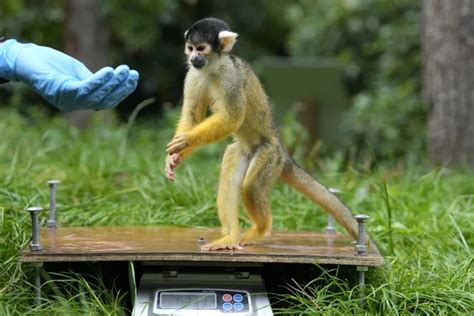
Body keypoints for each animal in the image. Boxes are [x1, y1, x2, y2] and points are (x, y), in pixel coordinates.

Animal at [167, 17, 360, 251]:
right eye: (190, 48)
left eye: (201, 48)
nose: (193, 58)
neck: (213, 67)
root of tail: (283, 152)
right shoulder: (193, 75)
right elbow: (193, 116)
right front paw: (174, 158)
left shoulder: (231, 78)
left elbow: (232, 118)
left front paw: (187, 140)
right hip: (244, 152)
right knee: (231, 177)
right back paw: (230, 237)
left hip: (269, 155)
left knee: (251, 187)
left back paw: (261, 228)